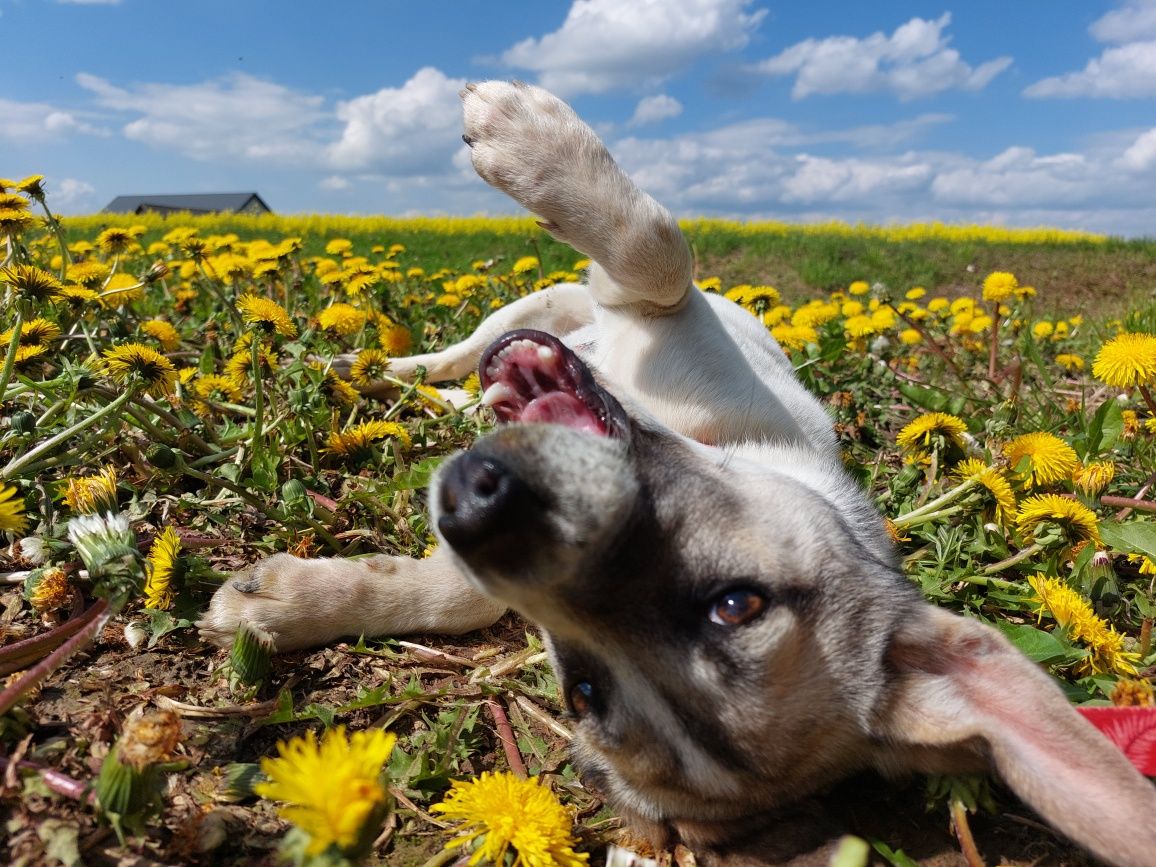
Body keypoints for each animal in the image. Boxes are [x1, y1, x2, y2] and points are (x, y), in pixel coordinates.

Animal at [198, 83, 1156, 867]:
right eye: (740, 601)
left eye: (584, 691)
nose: (485, 503)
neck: (701, 430)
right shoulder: (661, 308)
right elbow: (659, 252)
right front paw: (528, 137)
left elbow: (455, 594)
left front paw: (293, 599)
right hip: (535, 301)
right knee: (463, 351)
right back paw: (370, 368)